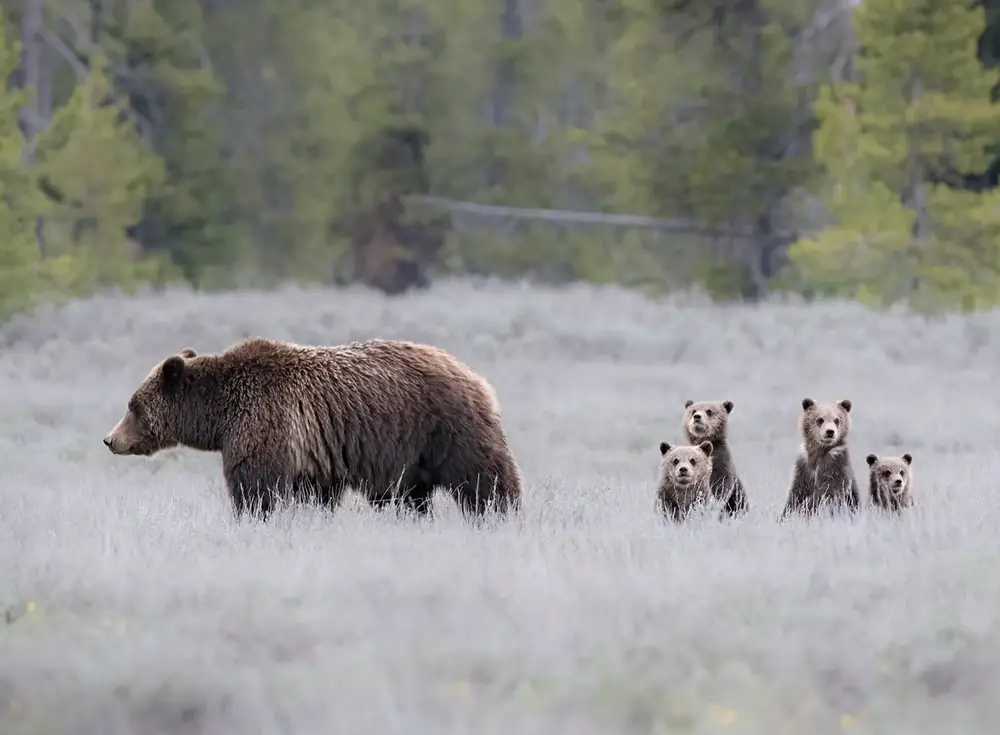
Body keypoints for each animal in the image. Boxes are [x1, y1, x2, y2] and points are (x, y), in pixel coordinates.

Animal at [103, 337, 523, 521]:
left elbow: (256, 485)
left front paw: (253, 518)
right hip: (410, 454)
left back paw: (500, 514)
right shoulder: (314, 452)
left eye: (133, 406)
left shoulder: (264, 422)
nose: (110, 439)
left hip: (443, 426)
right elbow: (313, 494)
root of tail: (472, 375)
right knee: (408, 496)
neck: (219, 414)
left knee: (483, 476)